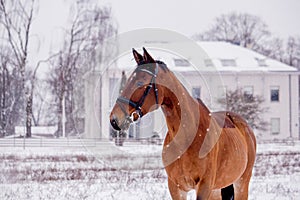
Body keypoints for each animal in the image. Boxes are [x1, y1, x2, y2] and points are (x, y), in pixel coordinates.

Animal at [109, 47, 256, 199]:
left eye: (139, 83)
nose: (114, 119)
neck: (186, 136)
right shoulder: (176, 187)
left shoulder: (204, 186)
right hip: (216, 190)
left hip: (241, 183)